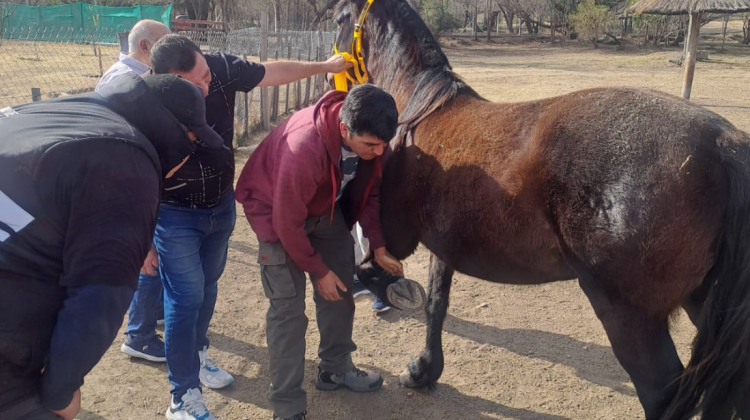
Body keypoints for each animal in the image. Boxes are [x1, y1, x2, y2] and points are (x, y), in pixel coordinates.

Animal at [334, 0, 750, 416]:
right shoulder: (443, 245)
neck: (418, 113)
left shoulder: (395, 239)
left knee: (659, 393)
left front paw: (397, 296)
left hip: (631, 317)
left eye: (338, 19)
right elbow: (436, 303)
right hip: (703, 302)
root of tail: (723, 142)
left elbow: (372, 273)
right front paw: (424, 370)